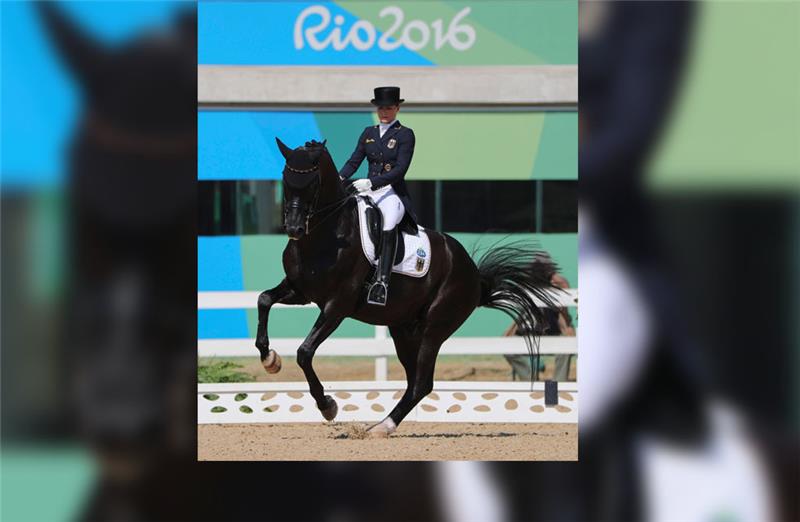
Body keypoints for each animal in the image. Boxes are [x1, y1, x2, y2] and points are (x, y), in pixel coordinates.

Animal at [256, 137, 556, 434]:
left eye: (313, 183)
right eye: (285, 179)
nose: (294, 229)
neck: (324, 237)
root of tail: (473, 274)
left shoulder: (337, 306)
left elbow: (304, 352)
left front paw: (327, 406)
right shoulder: (300, 290)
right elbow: (264, 300)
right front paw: (270, 360)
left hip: (434, 329)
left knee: (422, 383)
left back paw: (383, 427)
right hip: (403, 328)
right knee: (414, 381)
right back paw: (381, 425)